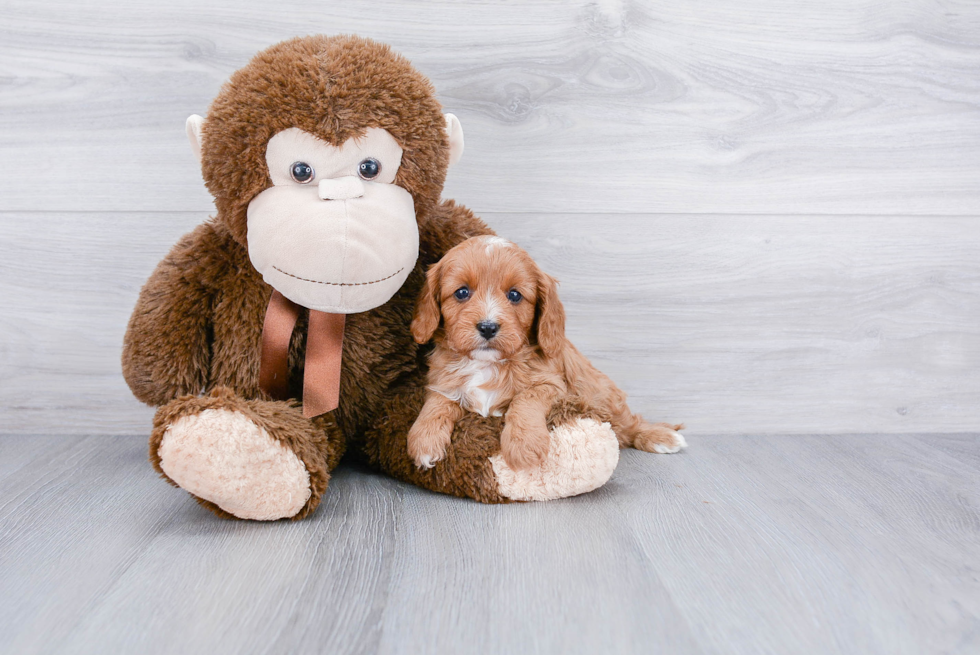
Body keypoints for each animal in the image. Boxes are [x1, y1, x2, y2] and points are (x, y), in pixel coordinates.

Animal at [404, 236, 680, 472]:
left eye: (514, 295)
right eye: (462, 292)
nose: (488, 327)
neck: (487, 364)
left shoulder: (551, 384)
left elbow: (524, 400)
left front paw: (524, 445)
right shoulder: (442, 381)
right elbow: (438, 403)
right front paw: (423, 440)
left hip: (602, 394)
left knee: (629, 423)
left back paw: (661, 436)